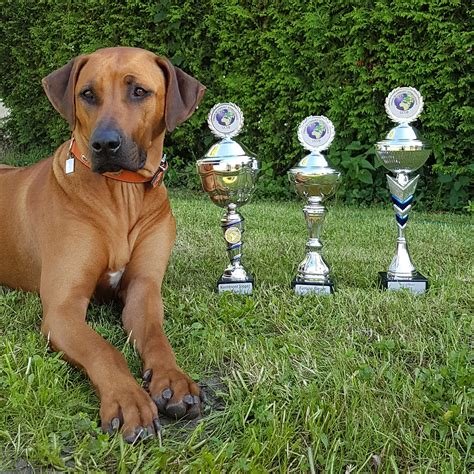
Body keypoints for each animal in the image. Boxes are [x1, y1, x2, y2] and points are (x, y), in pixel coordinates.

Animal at [0, 47, 206, 440]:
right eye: (88, 94)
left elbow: (157, 336)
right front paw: (128, 400)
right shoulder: (62, 308)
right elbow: (104, 349)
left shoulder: (143, 289)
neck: (121, 194)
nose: (105, 144)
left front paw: (173, 379)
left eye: (139, 91)